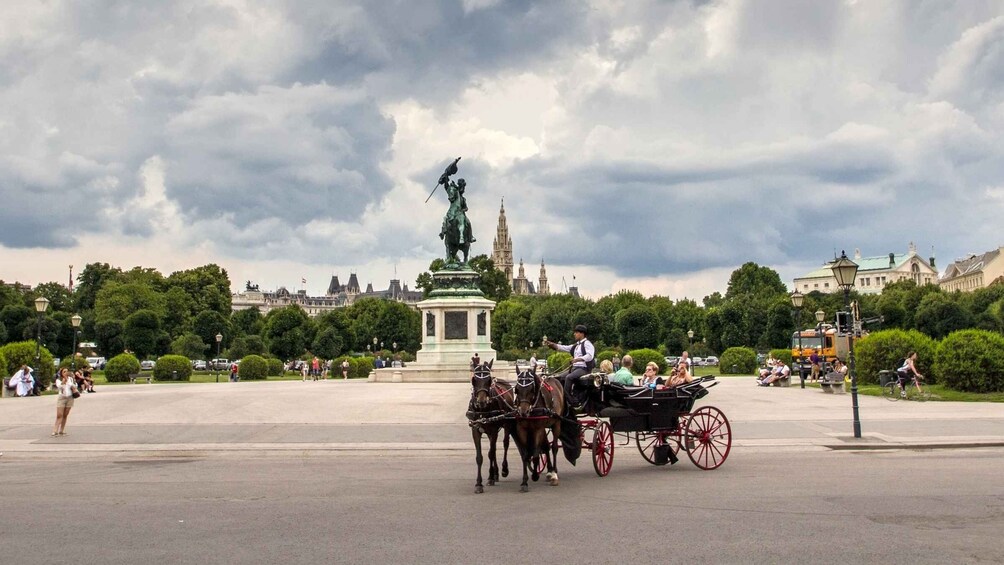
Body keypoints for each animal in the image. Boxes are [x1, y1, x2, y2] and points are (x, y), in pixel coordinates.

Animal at [463, 361, 510, 493]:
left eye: (488, 380)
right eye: (474, 379)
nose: (482, 401)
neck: (482, 410)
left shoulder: (494, 431)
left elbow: (491, 453)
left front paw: (490, 477)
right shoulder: (475, 430)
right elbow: (480, 457)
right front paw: (479, 483)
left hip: (507, 425)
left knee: (505, 444)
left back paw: (503, 470)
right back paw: (496, 473)